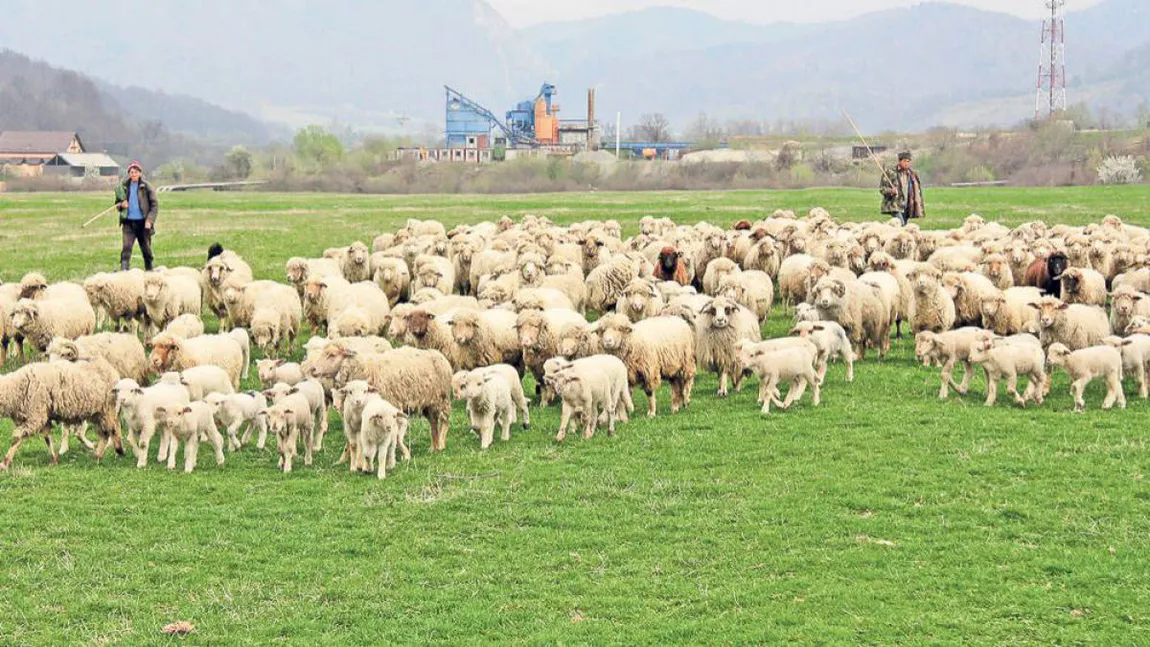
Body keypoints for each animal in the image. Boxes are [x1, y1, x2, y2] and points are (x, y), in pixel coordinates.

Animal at [308, 347, 455, 452]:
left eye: (332, 355)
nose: (312, 369)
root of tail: (438, 354)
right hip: (429, 403)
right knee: (433, 422)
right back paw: (434, 447)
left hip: (442, 399)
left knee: (444, 420)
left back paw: (441, 444)